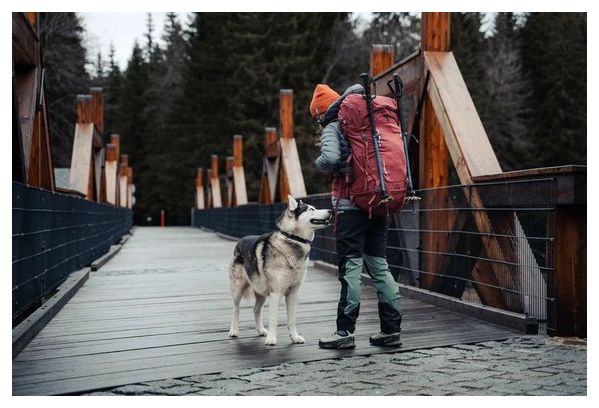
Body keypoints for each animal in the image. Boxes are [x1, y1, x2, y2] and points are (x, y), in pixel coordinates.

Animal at [229, 196, 332, 346]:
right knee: (235, 309)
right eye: (311, 209)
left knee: (256, 310)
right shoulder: (276, 294)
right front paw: (271, 339)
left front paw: (295, 338)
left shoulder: (293, 294)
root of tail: (240, 241)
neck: (292, 238)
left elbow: (292, 320)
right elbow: (274, 320)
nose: (330, 210)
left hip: (261, 292)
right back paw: (234, 330)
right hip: (238, 290)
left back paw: (261, 331)